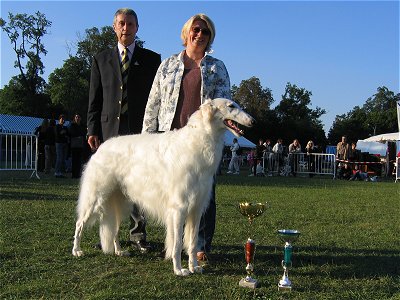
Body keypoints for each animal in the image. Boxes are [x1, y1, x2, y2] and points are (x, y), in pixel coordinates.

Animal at [72, 98, 253, 274]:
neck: (197, 141)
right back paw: (77, 250)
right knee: (79, 224)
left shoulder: (196, 208)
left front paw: (194, 267)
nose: (253, 121)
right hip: (95, 198)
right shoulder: (179, 208)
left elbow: (193, 243)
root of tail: (101, 146)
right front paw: (179, 269)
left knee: (114, 229)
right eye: (231, 106)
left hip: (121, 203)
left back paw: (119, 251)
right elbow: (177, 243)